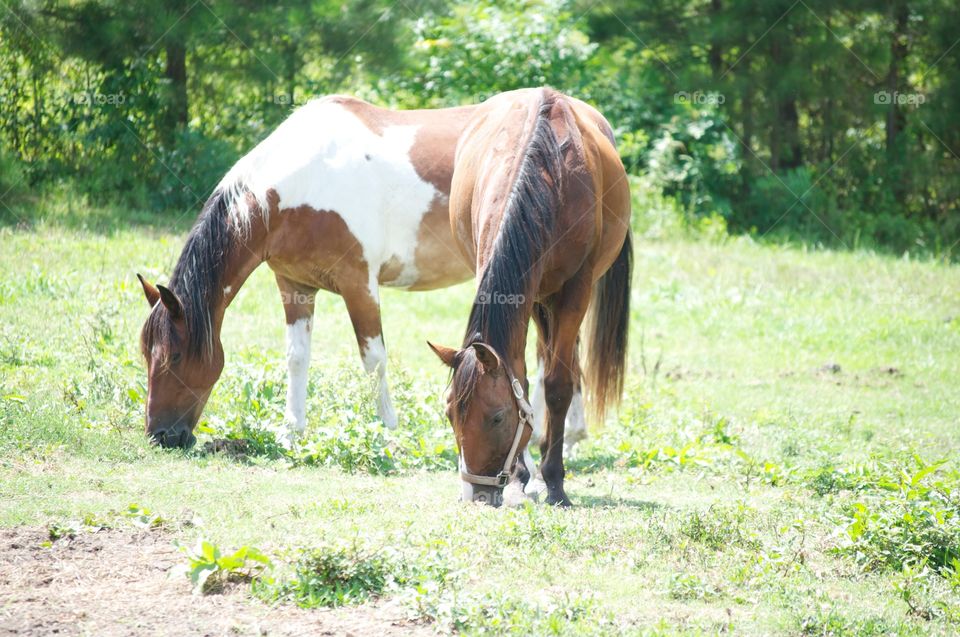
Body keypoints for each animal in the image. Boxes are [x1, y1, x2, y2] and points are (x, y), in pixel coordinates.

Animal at [136, 94, 592, 449]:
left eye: (175, 355)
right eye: (146, 353)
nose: (161, 436)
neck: (303, 182)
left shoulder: (360, 285)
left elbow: (374, 359)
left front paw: (389, 431)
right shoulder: (295, 286)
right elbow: (296, 357)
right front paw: (291, 431)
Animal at [428, 87, 632, 507]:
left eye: (497, 418)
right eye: (450, 413)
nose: (475, 494)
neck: (546, 176)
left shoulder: (574, 291)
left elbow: (557, 384)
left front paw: (553, 481)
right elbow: (520, 374)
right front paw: (521, 478)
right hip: (538, 300)